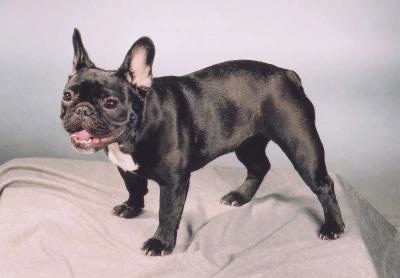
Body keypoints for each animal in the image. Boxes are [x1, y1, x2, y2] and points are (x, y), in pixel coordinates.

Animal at [61, 29, 344, 256]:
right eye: (67, 96)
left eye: (110, 103)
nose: (82, 109)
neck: (135, 131)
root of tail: (287, 74)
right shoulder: (126, 168)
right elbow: (134, 188)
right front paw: (132, 208)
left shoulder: (174, 181)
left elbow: (167, 212)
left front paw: (161, 243)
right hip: (247, 143)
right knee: (259, 166)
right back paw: (240, 196)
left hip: (300, 144)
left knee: (323, 184)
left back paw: (333, 227)